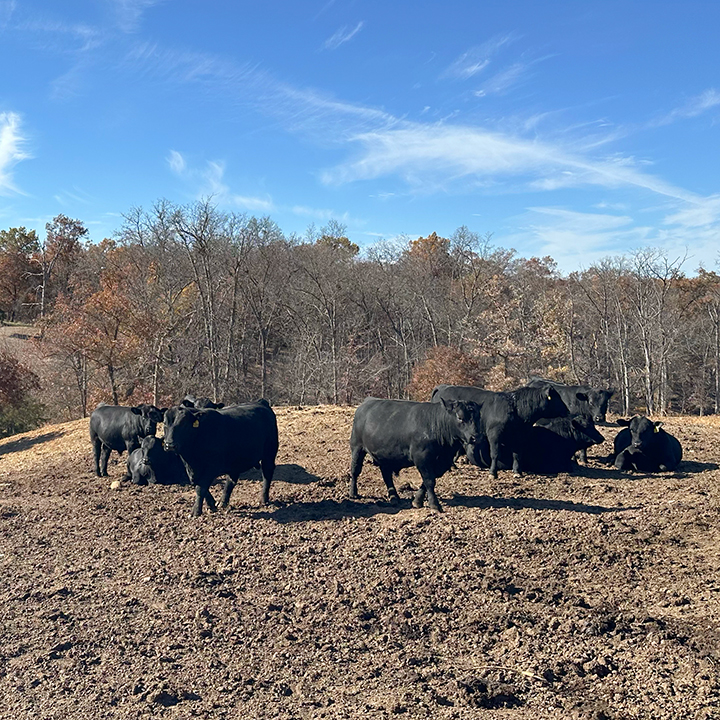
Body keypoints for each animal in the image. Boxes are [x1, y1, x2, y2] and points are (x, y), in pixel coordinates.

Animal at [349, 397, 484, 513]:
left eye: (478, 418)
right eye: (460, 417)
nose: (476, 437)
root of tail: (368, 401)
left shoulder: (443, 461)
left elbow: (429, 480)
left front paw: (417, 500)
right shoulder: (422, 458)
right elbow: (429, 480)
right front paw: (434, 504)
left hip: (385, 455)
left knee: (386, 474)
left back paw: (394, 497)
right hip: (357, 448)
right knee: (355, 470)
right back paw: (353, 493)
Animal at [430, 384, 569, 478]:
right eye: (556, 398)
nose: (567, 410)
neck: (515, 410)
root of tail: (444, 387)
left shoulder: (519, 437)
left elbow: (517, 454)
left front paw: (517, 472)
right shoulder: (494, 435)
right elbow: (495, 454)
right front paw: (493, 473)